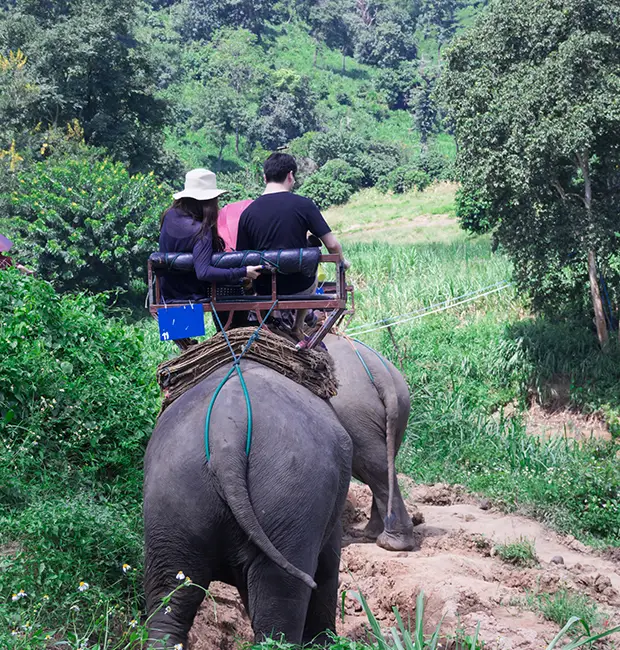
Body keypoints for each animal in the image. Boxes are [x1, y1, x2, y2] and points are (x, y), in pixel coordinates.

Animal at [143, 360, 353, 647]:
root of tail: (225, 436)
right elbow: (328, 568)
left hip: (170, 495)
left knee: (169, 598)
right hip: (293, 495)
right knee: (281, 604)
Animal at [325, 333, 415, 551]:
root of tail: (383, 376)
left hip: (353, 414)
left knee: (372, 467)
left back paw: (389, 543)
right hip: (400, 411)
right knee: (384, 466)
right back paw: (374, 534)